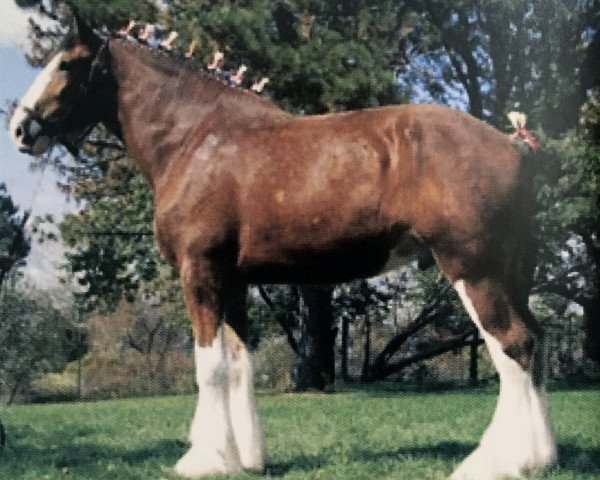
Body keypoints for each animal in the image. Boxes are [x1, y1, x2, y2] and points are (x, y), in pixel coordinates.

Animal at [9, 12, 556, 480]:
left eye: (67, 63)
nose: (20, 129)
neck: (196, 138)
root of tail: (512, 144)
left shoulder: (199, 272)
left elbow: (208, 366)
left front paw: (204, 460)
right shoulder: (233, 282)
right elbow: (238, 366)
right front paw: (245, 457)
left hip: (473, 269)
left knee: (511, 345)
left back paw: (497, 462)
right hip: (509, 273)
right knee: (534, 339)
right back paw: (540, 457)